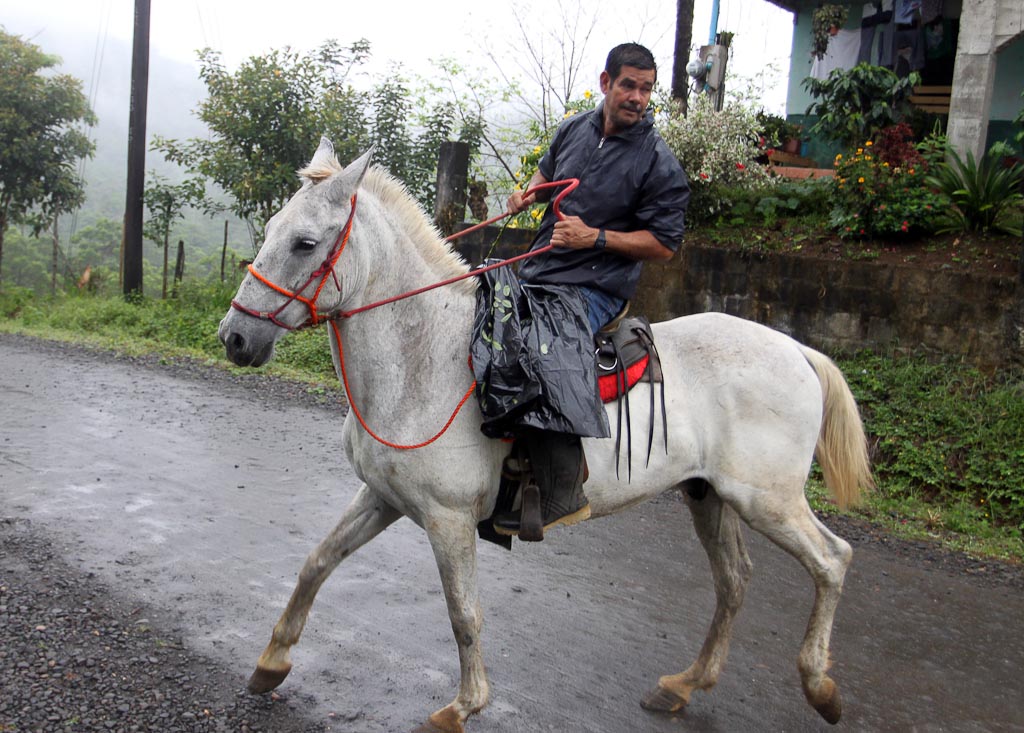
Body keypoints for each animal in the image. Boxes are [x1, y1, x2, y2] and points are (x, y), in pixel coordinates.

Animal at [216, 139, 872, 733]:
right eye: (272, 228)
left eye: (305, 242)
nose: (235, 338)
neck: (424, 359)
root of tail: (797, 350)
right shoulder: (383, 498)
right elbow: (317, 562)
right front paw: (272, 662)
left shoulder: (448, 518)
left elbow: (464, 614)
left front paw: (463, 706)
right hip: (709, 496)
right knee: (734, 581)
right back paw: (684, 685)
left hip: (766, 500)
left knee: (833, 561)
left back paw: (820, 686)